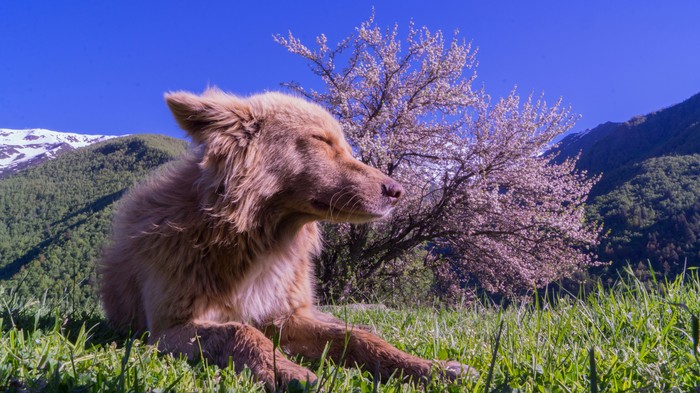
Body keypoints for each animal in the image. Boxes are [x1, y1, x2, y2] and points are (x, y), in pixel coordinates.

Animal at [98, 88, 474, 386]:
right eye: (321, 141)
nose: (398, 191)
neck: (255, 241)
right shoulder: (166, 331)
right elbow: (240, 329)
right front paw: (284, 371)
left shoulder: (287, 317)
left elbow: (357, 337)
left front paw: (430, 368)